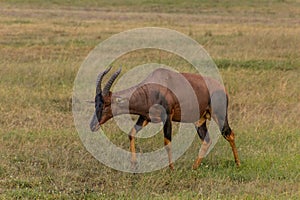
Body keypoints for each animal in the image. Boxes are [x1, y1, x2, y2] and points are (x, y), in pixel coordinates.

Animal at [88, 66, 240, 170]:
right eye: (96, 103)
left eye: (106, 104)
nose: (92, 126)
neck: (155, 85)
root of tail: (222, 88)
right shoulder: (145, 117)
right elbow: (131, 134)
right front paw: (134, 164)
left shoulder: (167, 117)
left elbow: (167, 142)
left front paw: (171, 168)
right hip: (199, 120)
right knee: (207, 140)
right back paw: (194, 167)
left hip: (219, 116)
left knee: (229, 134)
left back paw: (238, 164)